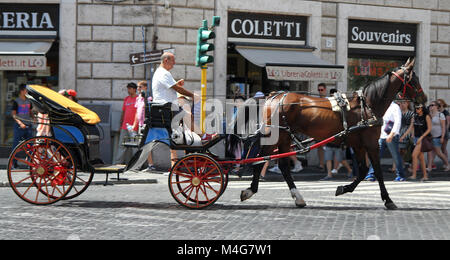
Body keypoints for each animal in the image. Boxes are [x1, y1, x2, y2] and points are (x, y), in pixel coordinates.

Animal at [241, 58, 428, 210]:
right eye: (414, 79)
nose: (424, 99)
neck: (367, 105)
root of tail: (275, 96)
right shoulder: (371, 144)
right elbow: (377, 170)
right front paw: (388, 200)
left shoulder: (359, 145)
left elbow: (363, 170)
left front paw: (343, 188)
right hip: (275, 136)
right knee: (260, 161)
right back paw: (251, 190)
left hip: (285, 138)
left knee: (282, 166)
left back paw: (297, 197)